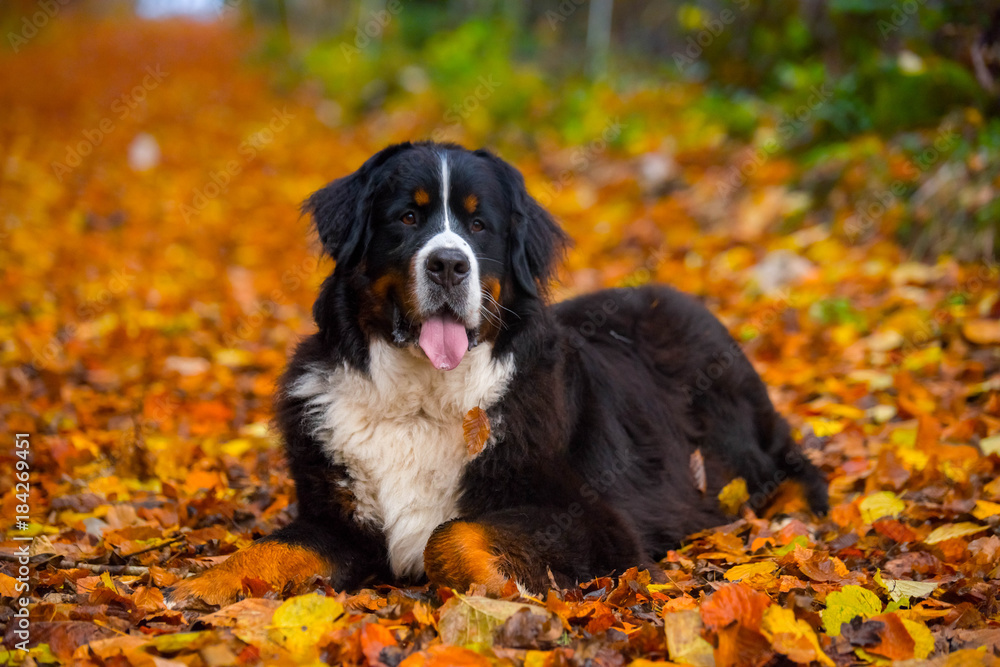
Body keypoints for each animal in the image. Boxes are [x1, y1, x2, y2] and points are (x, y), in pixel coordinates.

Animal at [166, 142, 828, 612]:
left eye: (480, 226)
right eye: (407, 217)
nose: (448, 263)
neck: (422, 399)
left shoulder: (594, 520)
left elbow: (451, 534)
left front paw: (501, 592)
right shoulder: (338, 521)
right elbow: (272, 547)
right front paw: (198, 584)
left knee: (794, 468)